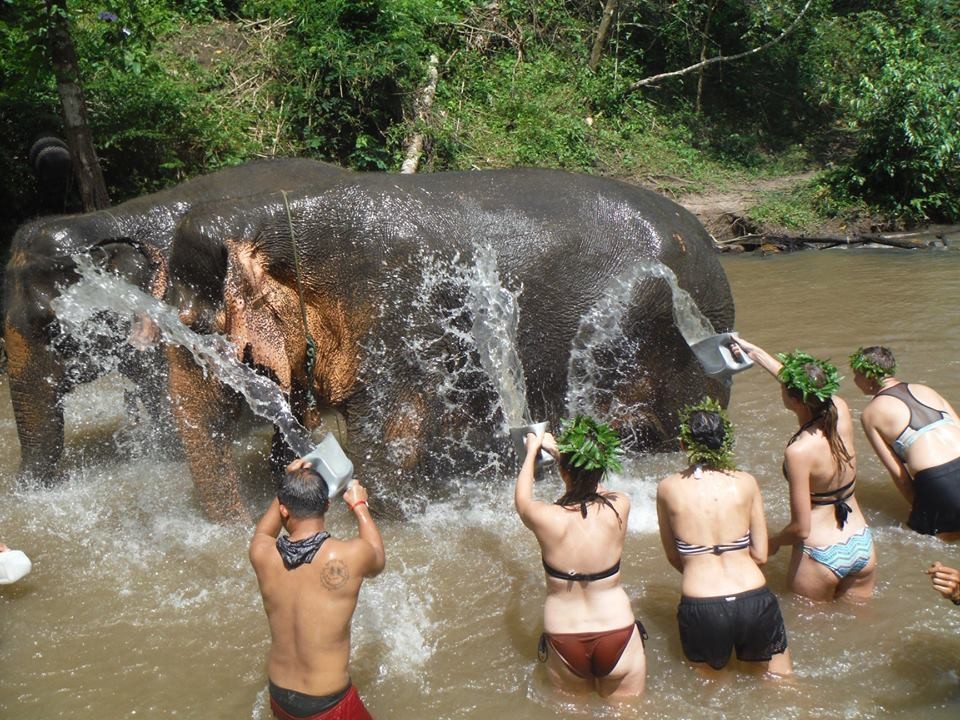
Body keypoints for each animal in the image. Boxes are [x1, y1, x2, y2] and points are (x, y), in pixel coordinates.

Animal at [165, 167, 736, 524]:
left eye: (195, 326)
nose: (242, 524)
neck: (270, 220)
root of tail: (709, 240)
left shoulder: (399, 321)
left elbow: (388, 451)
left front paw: (404, 511)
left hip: (685, 351)